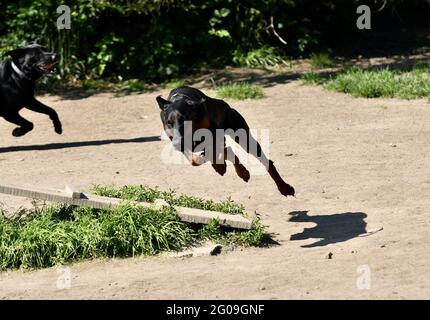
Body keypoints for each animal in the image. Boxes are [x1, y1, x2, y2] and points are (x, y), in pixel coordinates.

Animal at [157, 87, 296, 198]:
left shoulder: (214, 134)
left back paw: (284, 188)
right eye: (169, 123)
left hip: (243, 136)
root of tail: (226, 105)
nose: (176, 144)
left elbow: (214, 149)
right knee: (227, 151)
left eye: (184, 120)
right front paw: (215, 164)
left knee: (266, 162)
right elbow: (194, 160)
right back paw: (240, 171)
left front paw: (219, 165)